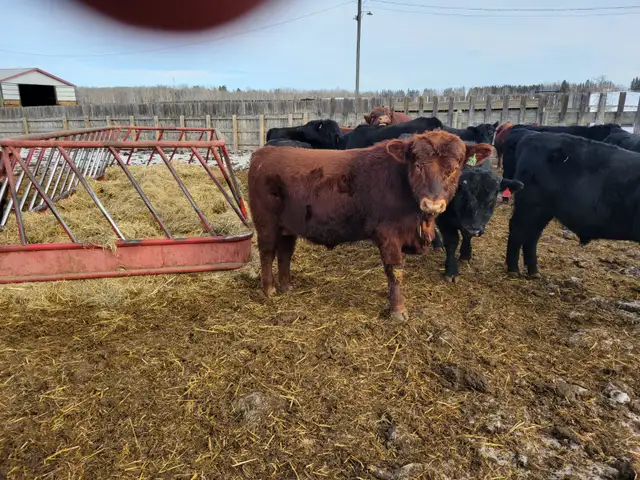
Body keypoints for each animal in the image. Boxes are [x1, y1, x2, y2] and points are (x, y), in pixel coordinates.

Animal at [248, 131, 493, 322]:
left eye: (454, 169)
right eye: (418, 165)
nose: (432, 204)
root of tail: (262, 154)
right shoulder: (388, 234)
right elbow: (395, 271)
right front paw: (398, 310)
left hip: (288, 226)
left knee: (285, 253)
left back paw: (287, 286)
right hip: (266, 223)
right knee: (267, 253)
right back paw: (269, 289)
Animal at [506, 132, 640, 277]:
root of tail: (532, 136)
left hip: (542, 210)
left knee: (532, 235)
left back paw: (534, 272)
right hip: (530, 206)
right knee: (519, 230)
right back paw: (513, 269)